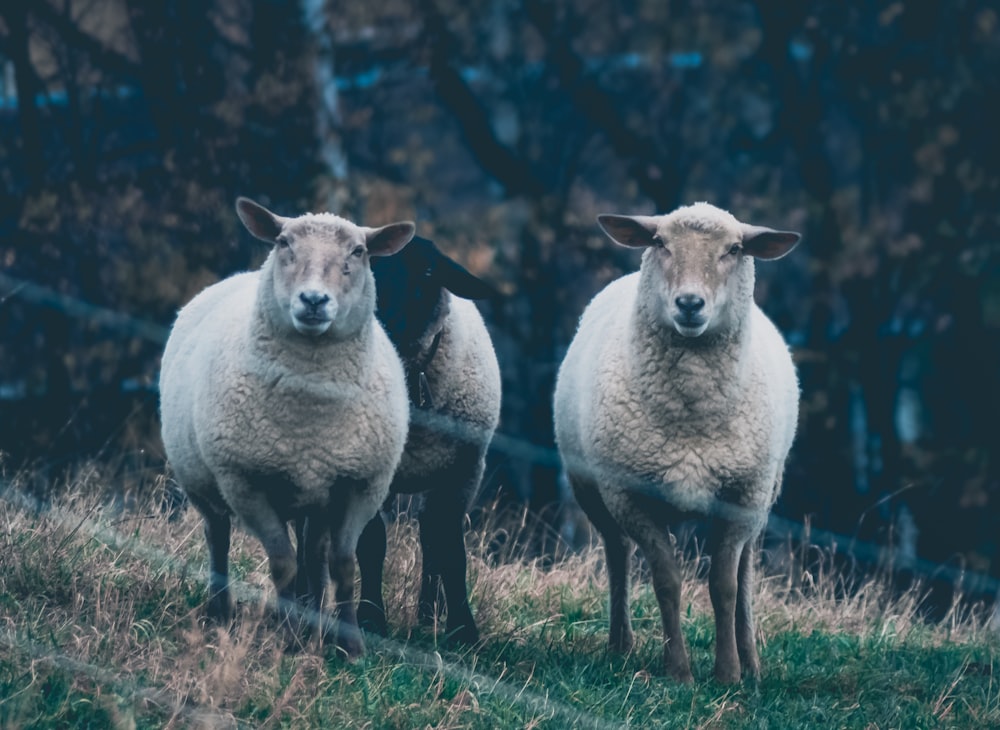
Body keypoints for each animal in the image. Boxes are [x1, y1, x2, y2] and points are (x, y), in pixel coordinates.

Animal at [159, 195, 414, 656]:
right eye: (283, 242)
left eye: (359, 252)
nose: (313, 300)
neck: (310, 412)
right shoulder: (246, 482)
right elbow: (282, 563)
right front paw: (289, 640)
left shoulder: (361, 484)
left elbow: (342, 564)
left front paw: (350, 647)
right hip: (202, 482)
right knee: (218, 536)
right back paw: (222, 614)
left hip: (315, 494)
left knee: (314, 553)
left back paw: (315, 621)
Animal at [352, 236, 504, 640]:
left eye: (427, 272)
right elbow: (372, 542)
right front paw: (370, 617)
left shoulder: (463, 473)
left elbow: (450, 549)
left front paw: (463, 630)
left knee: (430, 535)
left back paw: (427, 614)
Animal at [552, 202, 800, 680]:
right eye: (660, 243)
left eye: (735, 249)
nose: (689, 303)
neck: (692, 416)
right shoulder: (631, 495)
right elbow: (666, 580)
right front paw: (679, 672)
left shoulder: (742, 497)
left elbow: (724, 585)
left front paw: (728, 673)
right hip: (590, 488)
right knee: (617, 554)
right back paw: (620, 645)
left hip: (764, 493)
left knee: (746, 569)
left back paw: (751, 660)